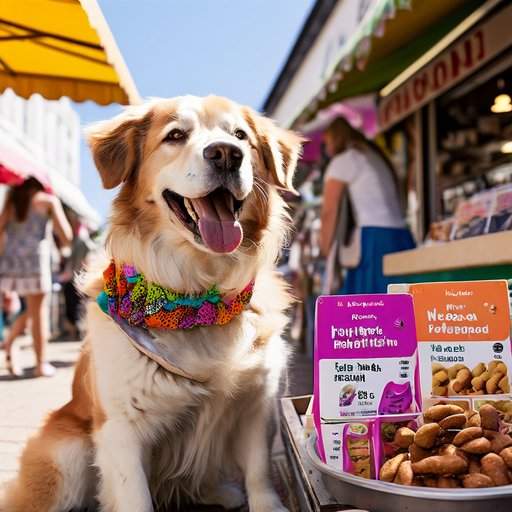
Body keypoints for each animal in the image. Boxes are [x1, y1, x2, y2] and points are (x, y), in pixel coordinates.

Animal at [0, 97, 302, 512]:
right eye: (175, 135)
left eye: (241, 136)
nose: (227, 154)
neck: (195, 295)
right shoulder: (121, 427)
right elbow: (134, 495)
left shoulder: (257, 403)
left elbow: (258, 469)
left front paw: (266, 504)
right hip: (67, 453)